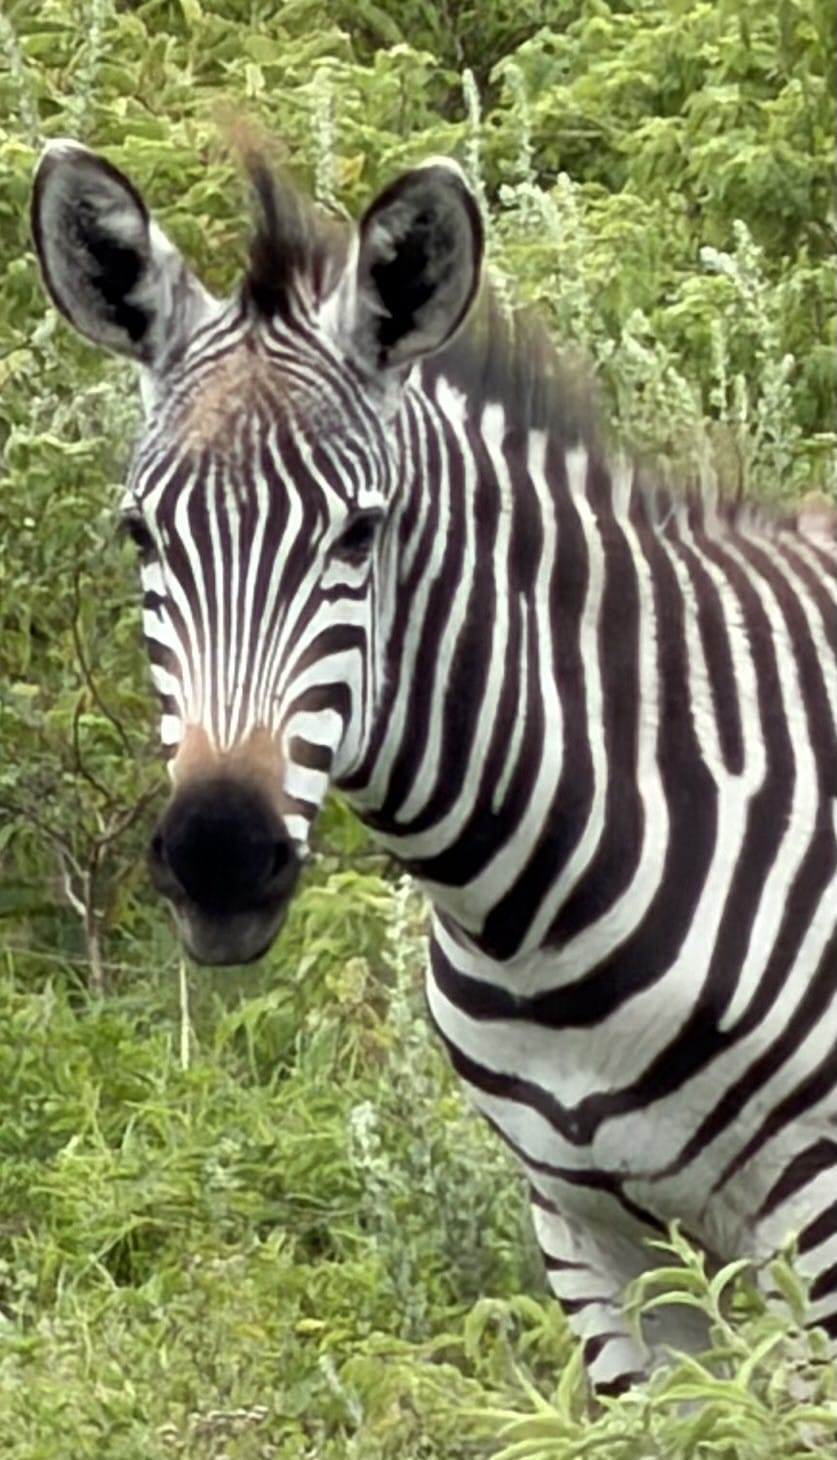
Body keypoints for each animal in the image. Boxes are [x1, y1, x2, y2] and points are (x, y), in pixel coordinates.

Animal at [32, 139, 837, 1395]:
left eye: (361, 533)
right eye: (141, 534)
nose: (220, 858)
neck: (536, 929)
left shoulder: (814, 1222)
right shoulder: (586, 1227)